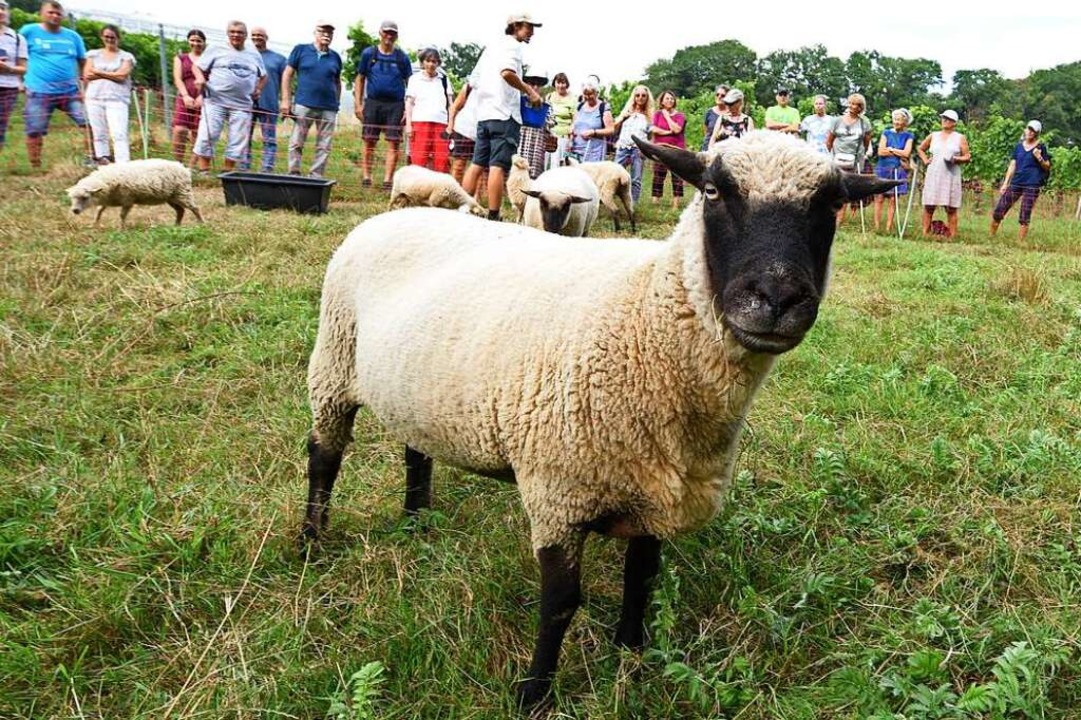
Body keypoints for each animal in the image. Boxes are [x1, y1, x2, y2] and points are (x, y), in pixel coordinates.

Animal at [63, 158, 204, 228]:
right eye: (72, 198)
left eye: (85, 197)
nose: (75, 210)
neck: (106, 181)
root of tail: (183, 167)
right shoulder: (108, 199)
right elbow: (99, 210)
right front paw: (94, 223)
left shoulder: (128, 200)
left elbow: (122, 215)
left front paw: (121, 229)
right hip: (171, 197)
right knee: (181, 210)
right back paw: (176, 225)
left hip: (182, 192)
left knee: (195, 208)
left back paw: (201, 223)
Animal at [300, 130, 899, 704]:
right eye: (711, 191)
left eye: (833, 204)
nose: (776, 298)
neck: (643, 318)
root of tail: (397, 213)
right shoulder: (557, 494)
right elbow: (562, 603)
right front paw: (535, 693)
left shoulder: (658, 492)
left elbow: (643, 579)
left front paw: (631, 655)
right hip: (333, 361)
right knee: (324, 456)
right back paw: (311, 541)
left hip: (419, 388)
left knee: (416, 449)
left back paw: (417, 521)